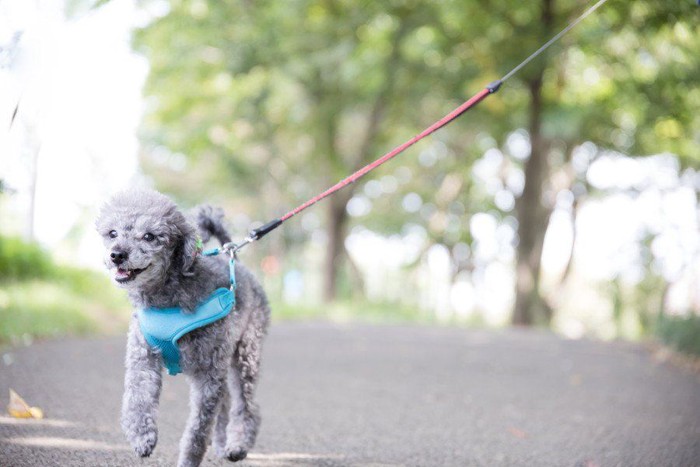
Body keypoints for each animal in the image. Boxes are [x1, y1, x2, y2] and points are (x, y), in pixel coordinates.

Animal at [93, 190, 268, 467]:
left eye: (150, 236)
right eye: (113, 233)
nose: (117, 254)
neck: (167, 297)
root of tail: (235, 260)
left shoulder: (208, 374)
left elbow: (198, 430)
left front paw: (188, 459)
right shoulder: (143, 357)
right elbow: (137, 397)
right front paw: (141, 437)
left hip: (245, 354)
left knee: (246, 405)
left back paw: (238, 445)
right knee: (226, 404)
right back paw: (222, 444)